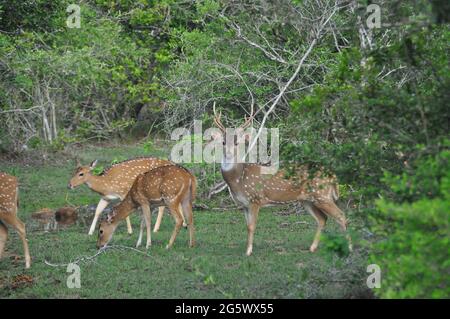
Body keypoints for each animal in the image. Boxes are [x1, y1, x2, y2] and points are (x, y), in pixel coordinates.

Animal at [213, 105, 354, 258]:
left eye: (237, 142)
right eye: (223, 142)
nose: (228, 153)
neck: (238, 180)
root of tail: (332, 175)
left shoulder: (255, 199)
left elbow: (252, 226)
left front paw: (248, 251)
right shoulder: (243, 204)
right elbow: (247, 226)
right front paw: (248, 249)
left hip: (322, 195)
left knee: (341, 216)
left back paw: (350, 249)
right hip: (307, 200)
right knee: (322, 219)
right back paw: (312, 248)